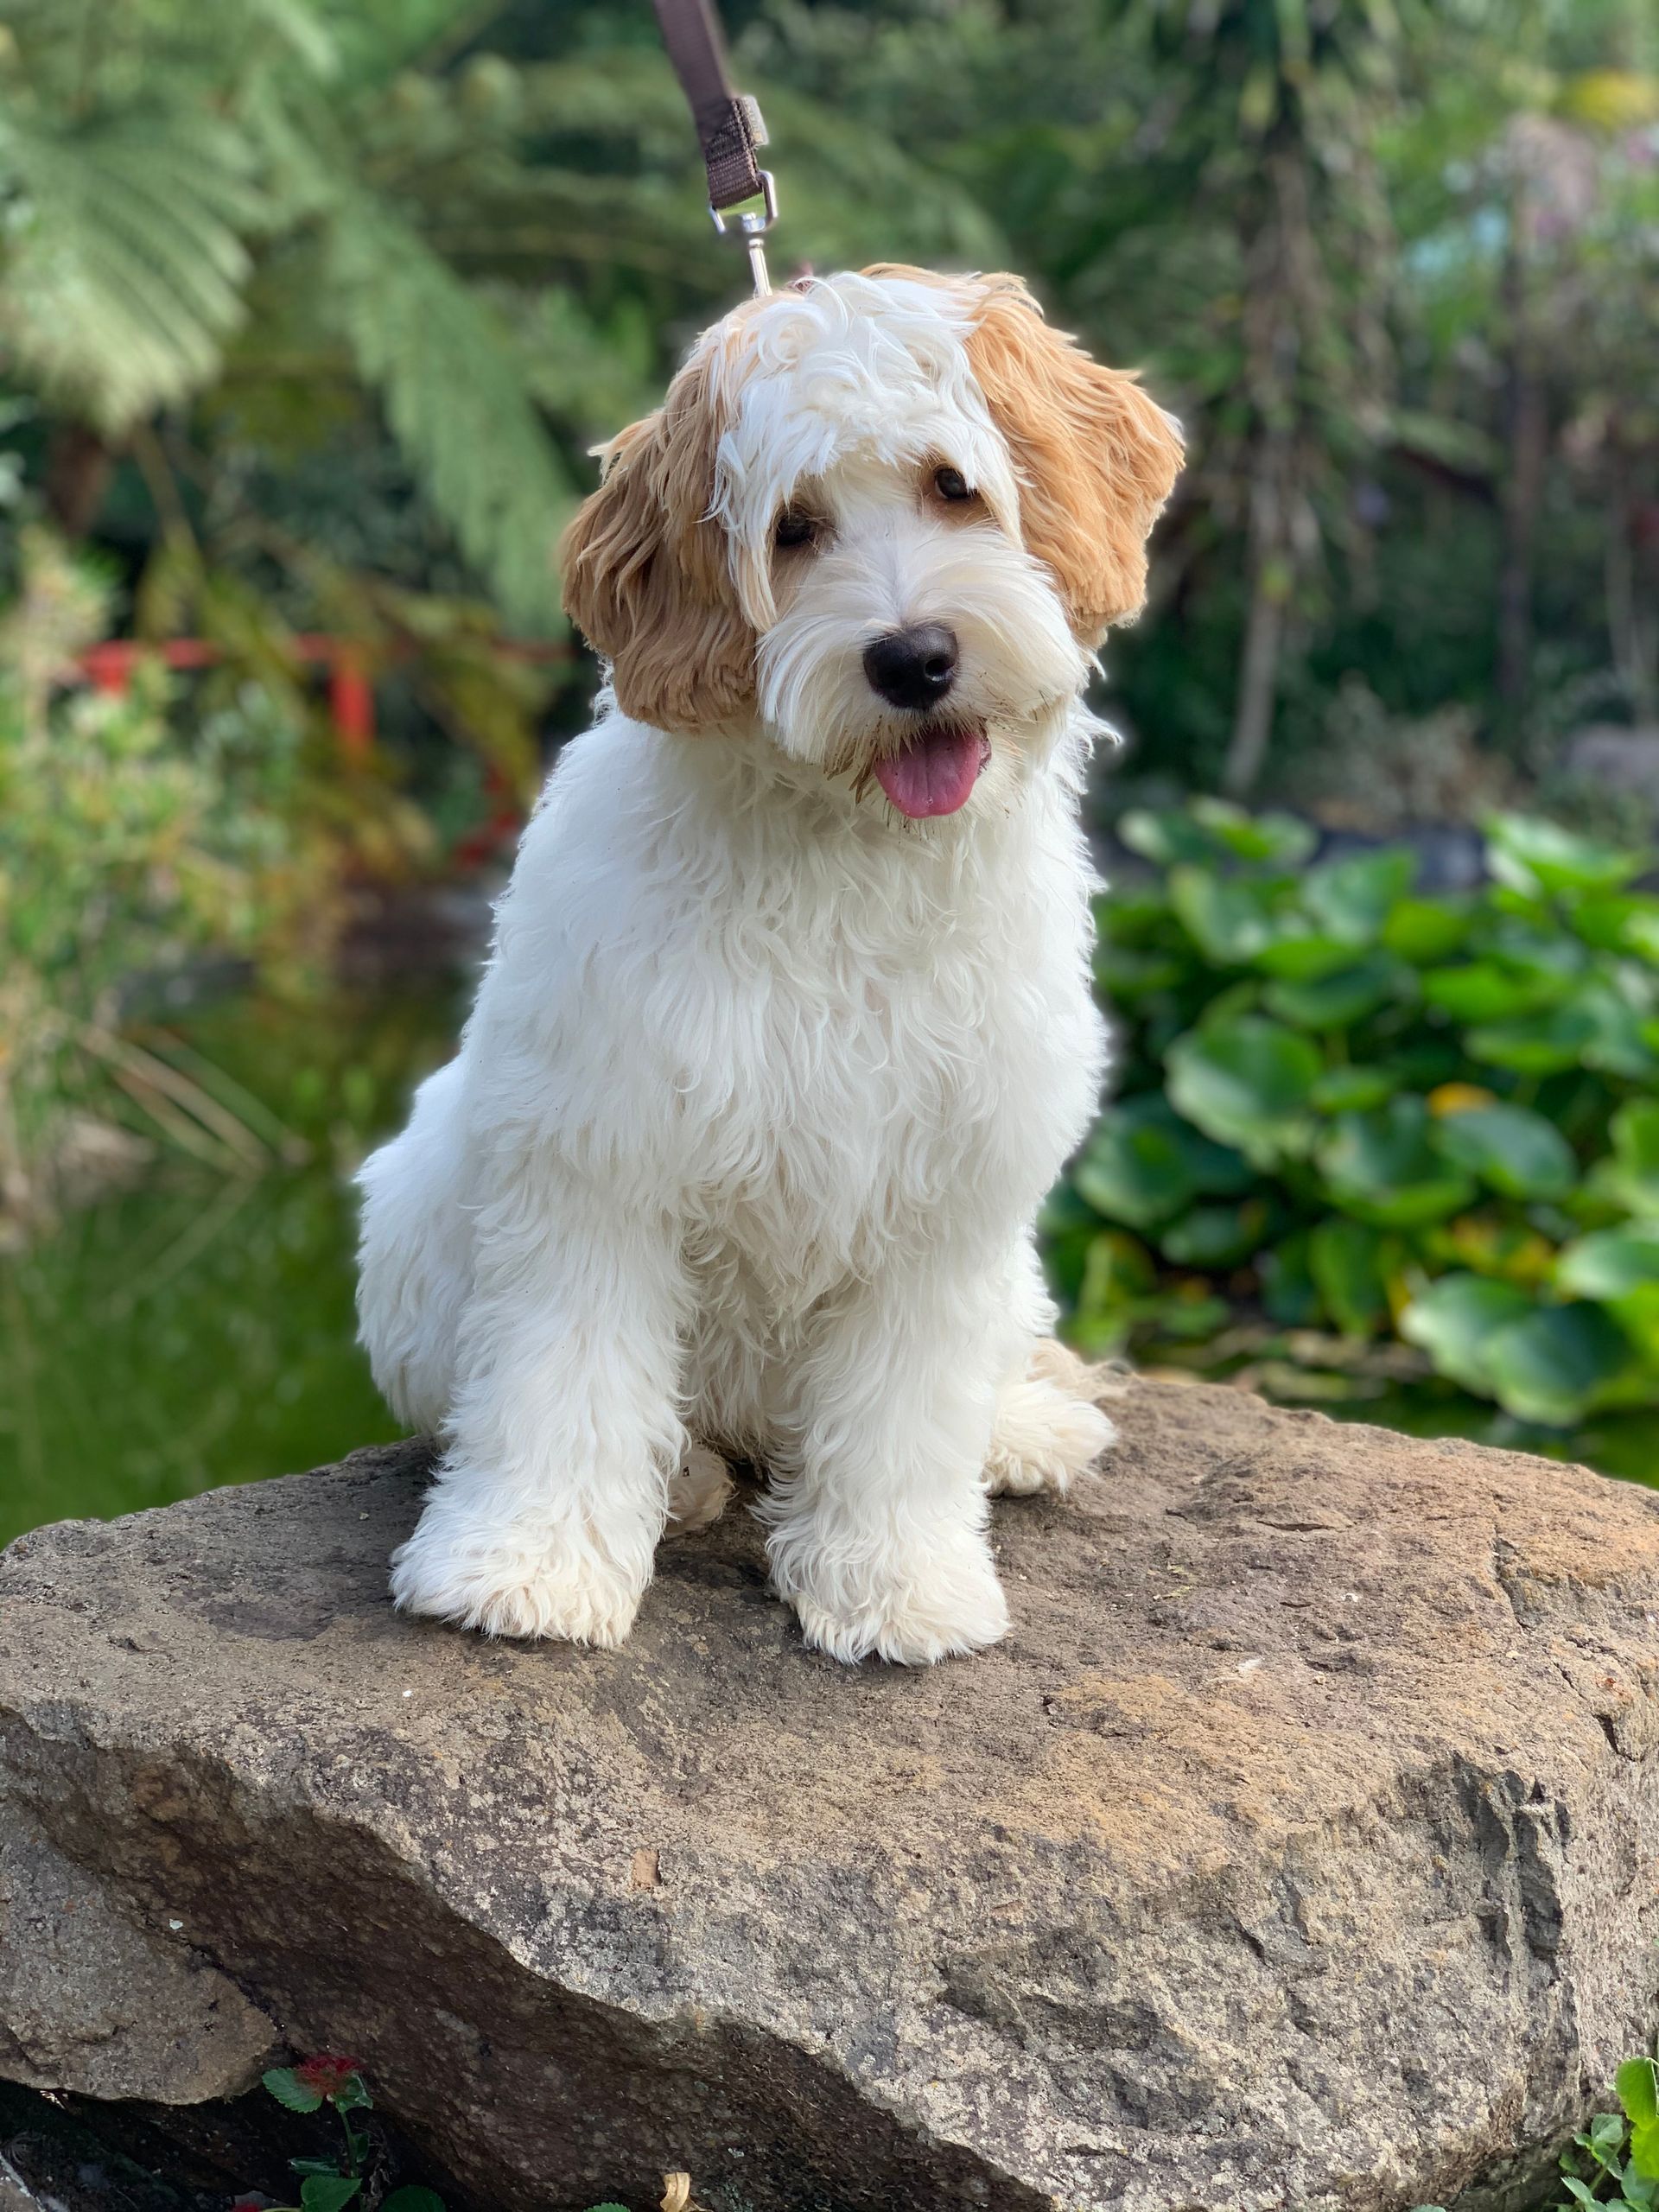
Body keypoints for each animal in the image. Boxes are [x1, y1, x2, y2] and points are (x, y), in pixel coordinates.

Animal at [356, 264, 1182, 1663]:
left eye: (955, 487)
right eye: (793, 529)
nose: (914, 658)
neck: (846, 845)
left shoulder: (951, 1180)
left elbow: (907, 1403)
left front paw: (897, 1578)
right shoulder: (598, 1144)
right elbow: (561, 1371)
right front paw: (526, 1565)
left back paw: (1020, 1428)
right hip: (415, 1226)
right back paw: (684, 1475)